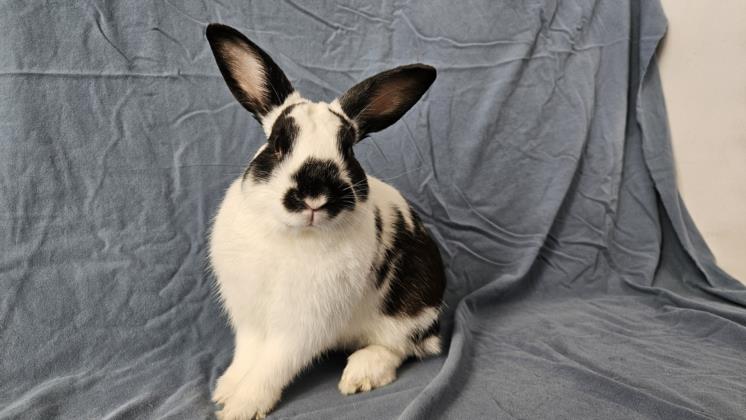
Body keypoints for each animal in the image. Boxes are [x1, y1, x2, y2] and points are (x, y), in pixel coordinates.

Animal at [205, 23, 442, 420]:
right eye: (277, 144)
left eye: (348, 150)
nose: (315, 195)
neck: (290, 236)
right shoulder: (250, 315)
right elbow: (248, 355)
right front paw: (226, 389)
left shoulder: (302, 326)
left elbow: (272, 365)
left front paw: (241, 406)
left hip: (407, 311)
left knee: (402, 347)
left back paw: (360, 374)